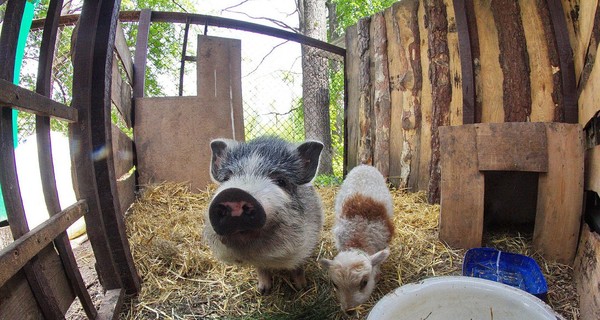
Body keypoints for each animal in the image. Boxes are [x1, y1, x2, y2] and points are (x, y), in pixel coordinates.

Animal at [203, 136, 326, 296]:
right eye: (227, 178)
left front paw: (302, 288)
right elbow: (261, 269)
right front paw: (262, 291)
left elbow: (297, 268)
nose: (233, 193)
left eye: (281, 181)